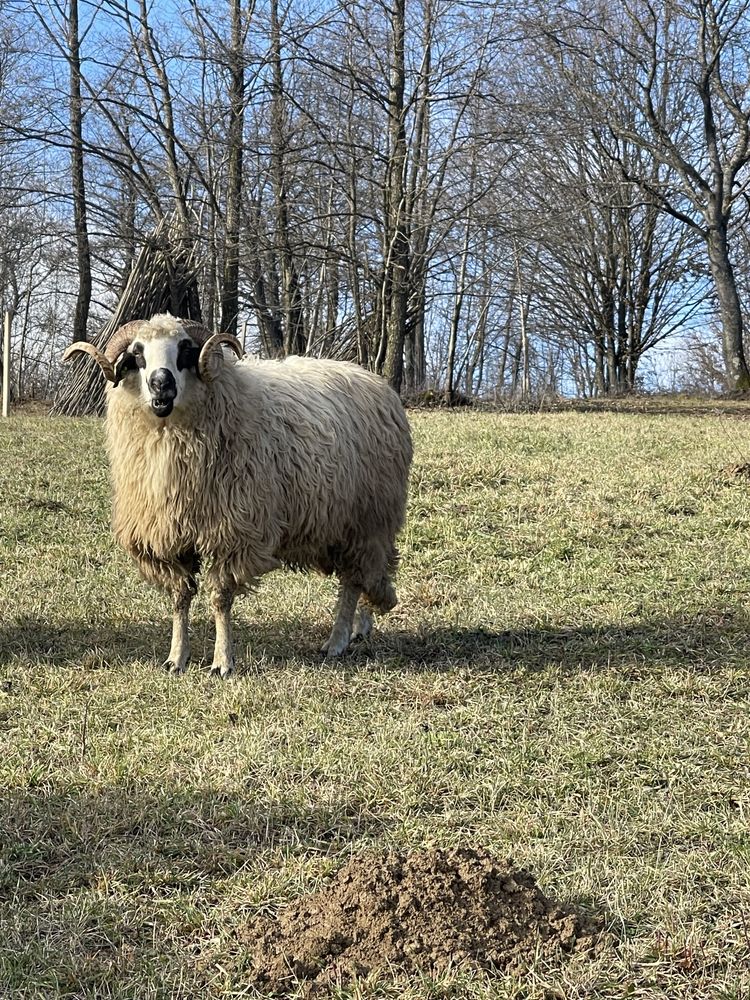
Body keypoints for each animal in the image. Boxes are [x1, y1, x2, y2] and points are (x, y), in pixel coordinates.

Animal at [63, 312, 418, 680]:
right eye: (138, 353)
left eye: (186, 350)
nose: (162, 384)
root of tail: (376, 383)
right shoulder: (170, 537)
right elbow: (180, 598)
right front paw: (177, 658)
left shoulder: (233, 534)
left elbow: (220, 599)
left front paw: (222, 662)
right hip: (338, 525)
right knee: (361, 577)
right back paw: (359, 627)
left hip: (367, 520)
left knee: (353, 581)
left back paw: (337, 640)